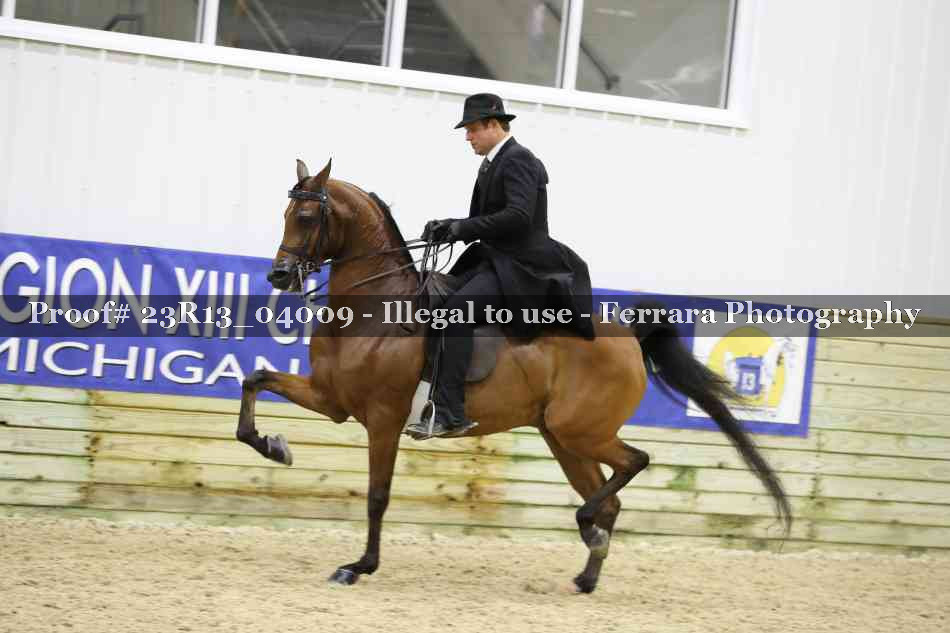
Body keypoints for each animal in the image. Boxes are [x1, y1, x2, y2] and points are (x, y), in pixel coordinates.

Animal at [235, 159, 791, 593]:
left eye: (307, 216)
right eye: (286, 214)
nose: (279, 276)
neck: (375, 308)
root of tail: (628, 334)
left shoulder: (384, 419)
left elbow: (377, 496)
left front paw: (359, 566)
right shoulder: (332, 400)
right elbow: (254, 381)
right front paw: (274, 447)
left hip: (580, 430)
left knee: (635, 462)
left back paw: (587, 531)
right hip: (563, 438)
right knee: (610, 496)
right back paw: (587, 572)